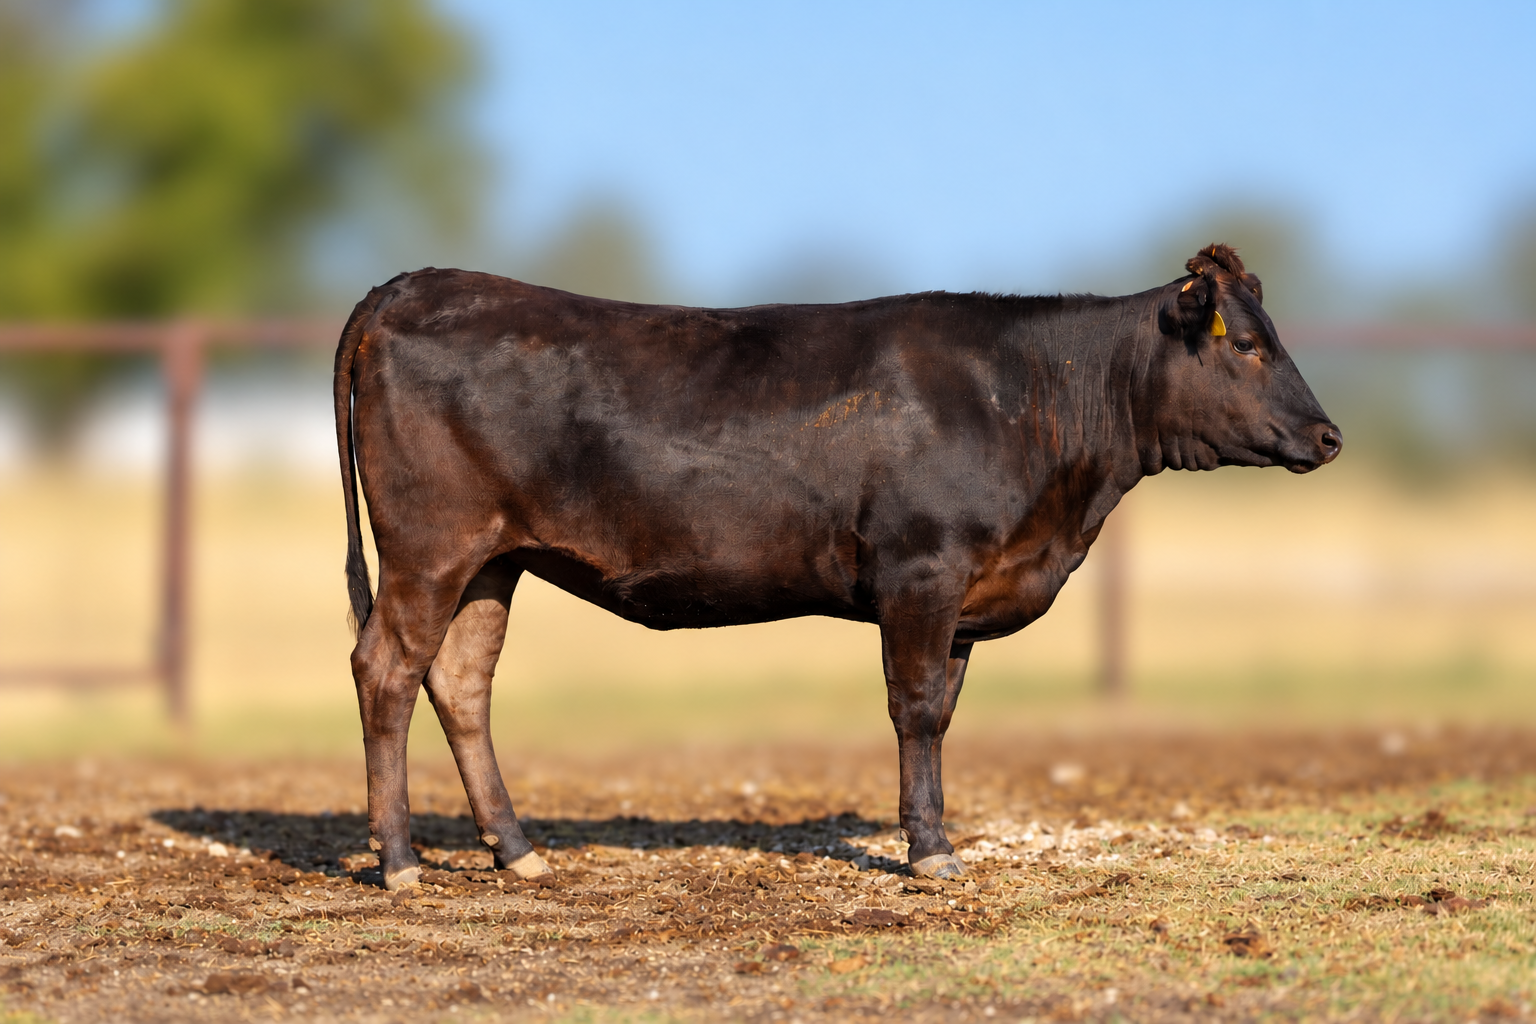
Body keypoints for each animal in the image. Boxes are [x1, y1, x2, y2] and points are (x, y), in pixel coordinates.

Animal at [334, 243, 1340, 890]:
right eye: (1250, 344)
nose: (1330, 435)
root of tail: (409, 283)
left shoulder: (962, 599)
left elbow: (943, 711)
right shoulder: (922, 572)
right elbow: (917, 710)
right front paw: (930, 853)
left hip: (492, 559)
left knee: (460, 681)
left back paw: (516, 849)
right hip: (430, 546)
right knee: (385, 669)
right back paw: (401, 863)